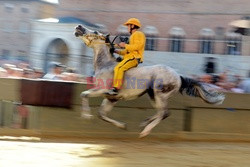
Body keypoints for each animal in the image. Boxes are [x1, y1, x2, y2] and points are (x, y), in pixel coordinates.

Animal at [74, 24, 225, 138]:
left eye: (95, 31)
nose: (79, 26)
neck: (105, 65)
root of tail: (178, 76)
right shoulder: (111, 98)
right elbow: (101, 114)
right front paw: (122, 126)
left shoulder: (103, 90)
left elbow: (84, 94)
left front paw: (86, 116)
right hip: (153, 95)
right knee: (161, 113)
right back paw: (144, 123)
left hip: (160, 94)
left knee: (164, 113)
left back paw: (145, 131)